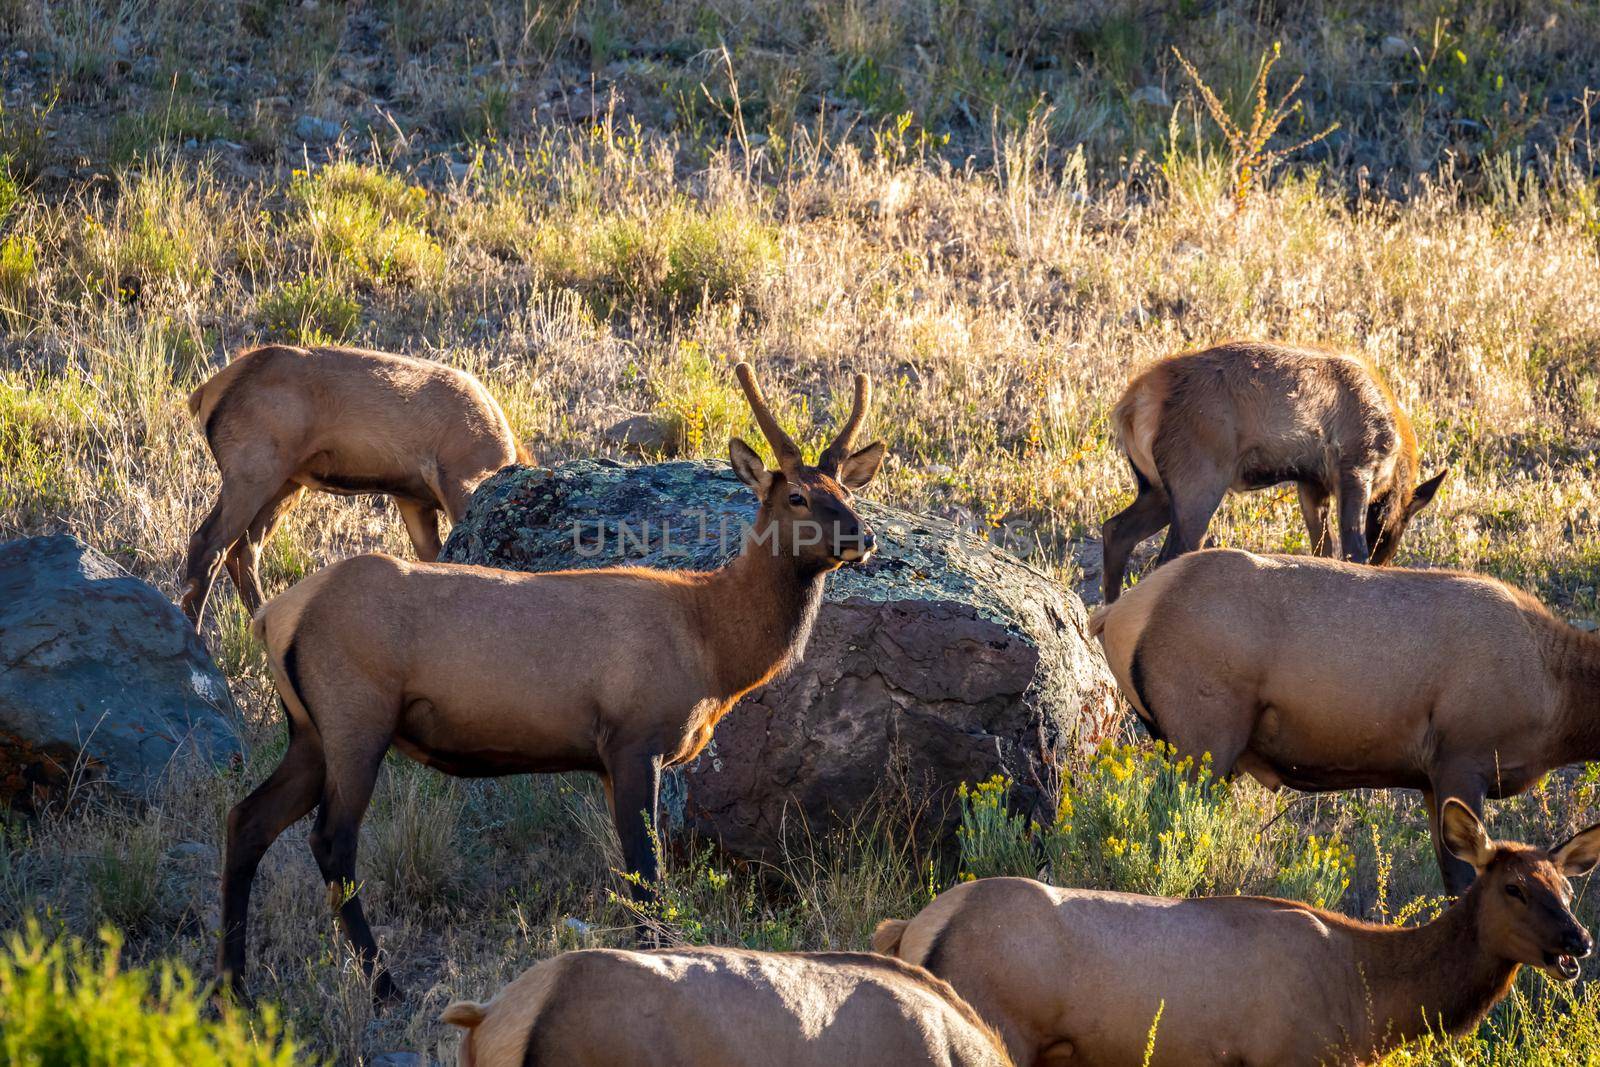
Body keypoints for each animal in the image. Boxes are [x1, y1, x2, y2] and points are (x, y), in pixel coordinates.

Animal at [217, 363, 889, 1004]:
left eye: (847, 491)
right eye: (797, 496)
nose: (862, 537)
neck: (713, 648)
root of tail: (274, 617)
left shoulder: (612, 759)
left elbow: (634, 880)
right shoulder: (634, 739)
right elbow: (648, 880)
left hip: (310, 730)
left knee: (247, 818)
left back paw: (235, 986)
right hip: (356, 714)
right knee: (332, 841)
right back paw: (384, 989)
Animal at [876, 799, 1600, 1067]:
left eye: (1567, 889)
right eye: (1513, 888)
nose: (1577, 943)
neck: (1368, 1003)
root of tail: (911, 927)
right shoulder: (1289, 1053)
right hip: (999, 1029)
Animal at [1094, 550, 1600, 895]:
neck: (1555, 696)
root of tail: (1112, 614)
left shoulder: (1431, 779)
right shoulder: (1462, 759)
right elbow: (1465, 880)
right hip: (1203, 740)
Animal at [1100, 343, 1452, 601]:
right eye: (1395, 528)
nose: (1385, 563)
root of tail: (1131, 405)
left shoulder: (1311, 482)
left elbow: (1323, 549)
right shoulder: (1354, 467)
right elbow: (1353, 551)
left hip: (1157, 487)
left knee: (1116, 529)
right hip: (1198, 480)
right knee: (1170, 554)